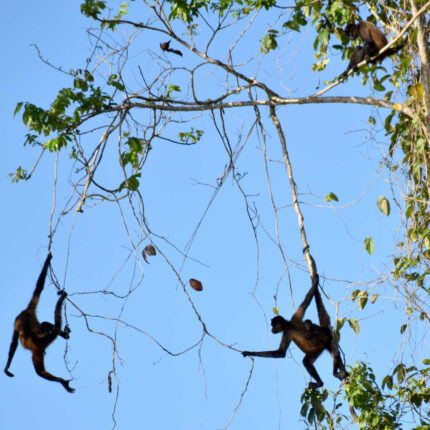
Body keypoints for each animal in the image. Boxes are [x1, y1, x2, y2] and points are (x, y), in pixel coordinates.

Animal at [3, 252, 74, 394]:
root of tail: (38, 340)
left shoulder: (20, 319)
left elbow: (13, 343)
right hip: (40, 347)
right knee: (47, 324)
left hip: (36, 351)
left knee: (39, 372)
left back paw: (61, 381)